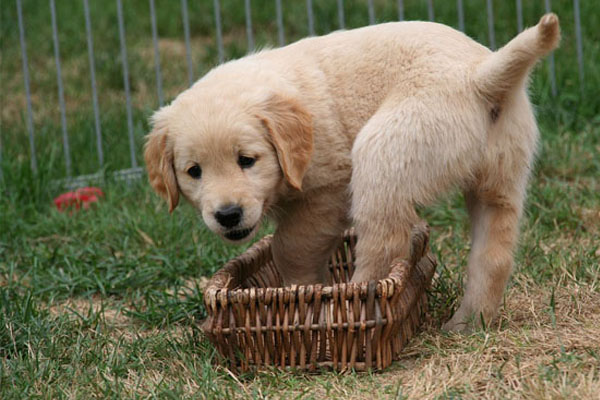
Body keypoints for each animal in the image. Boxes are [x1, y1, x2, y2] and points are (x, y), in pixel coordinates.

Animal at [148, 14, 560, 332]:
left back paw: (347, 305)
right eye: (194, 171)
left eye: (247, 160)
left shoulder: (327, 191)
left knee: (383, 243)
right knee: (494, 255)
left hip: (383, 152)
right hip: (501, 177)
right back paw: (468, 323)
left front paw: (300, 289)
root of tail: (477, 77)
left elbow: (290, 245)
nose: (228, 215)